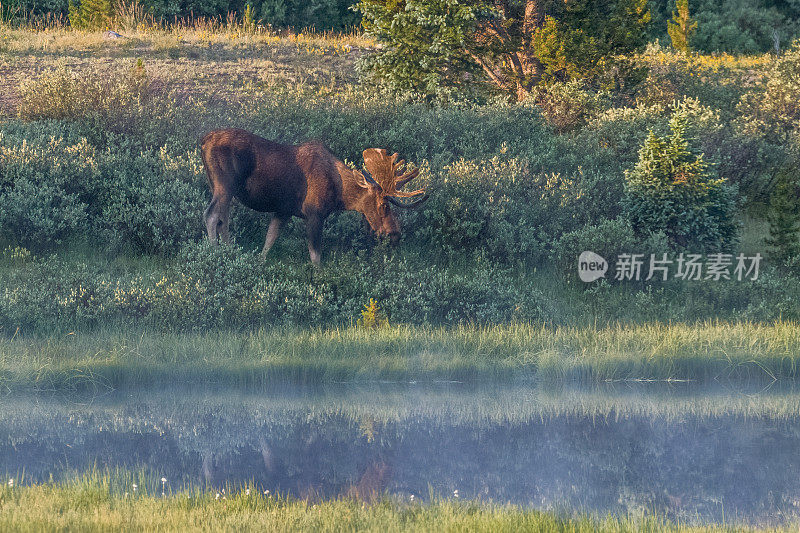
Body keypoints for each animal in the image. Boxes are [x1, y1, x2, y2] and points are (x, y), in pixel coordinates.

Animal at [202, 127, 424, 264]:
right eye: (383, 204)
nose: (395, 235)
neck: (339, 195)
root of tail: (203, 142)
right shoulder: (314, 214)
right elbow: (316, 257)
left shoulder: (284, 211)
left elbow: (269, 239)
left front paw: (259, 262)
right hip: (225, 185)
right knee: (211, 215)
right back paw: (214, 253)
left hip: (221, 188)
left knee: (223, 220)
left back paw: (229, 251)